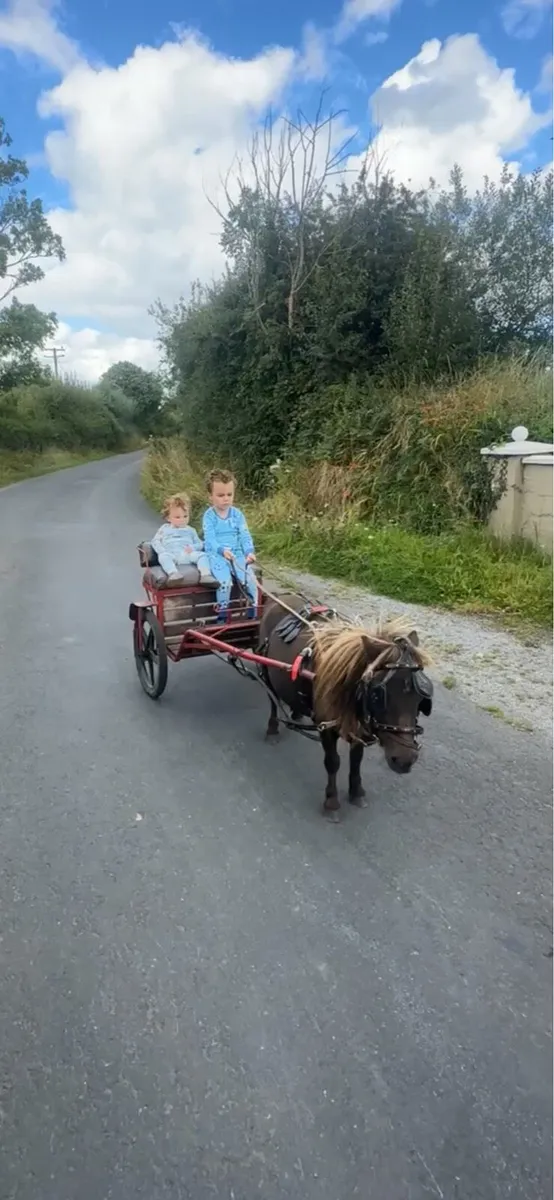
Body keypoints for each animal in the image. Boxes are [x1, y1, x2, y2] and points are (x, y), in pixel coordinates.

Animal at [257, 593, 433, 821]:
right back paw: (272, 728)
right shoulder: (326, 726)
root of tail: (281, 596)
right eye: (377, 695)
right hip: (266, 670)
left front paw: (356, 791)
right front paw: (332, 801)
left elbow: (356, 759)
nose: (404, 761)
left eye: (421, 697)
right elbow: (333, 762)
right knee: (272, 699)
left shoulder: (359, 723)